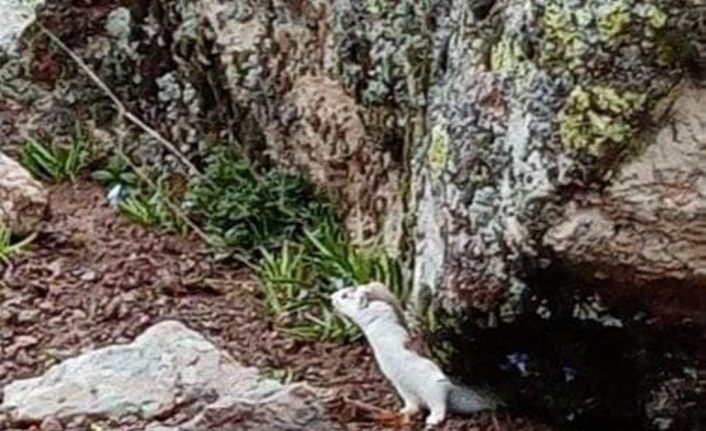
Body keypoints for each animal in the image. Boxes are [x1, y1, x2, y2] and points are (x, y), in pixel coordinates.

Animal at [330, 282, 496, 426]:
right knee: (415, 405)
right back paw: (404, 411)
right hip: (404, 389)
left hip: (433, 386)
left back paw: (433, 420)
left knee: (439, 404)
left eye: (344, 295)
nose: (331, 296)